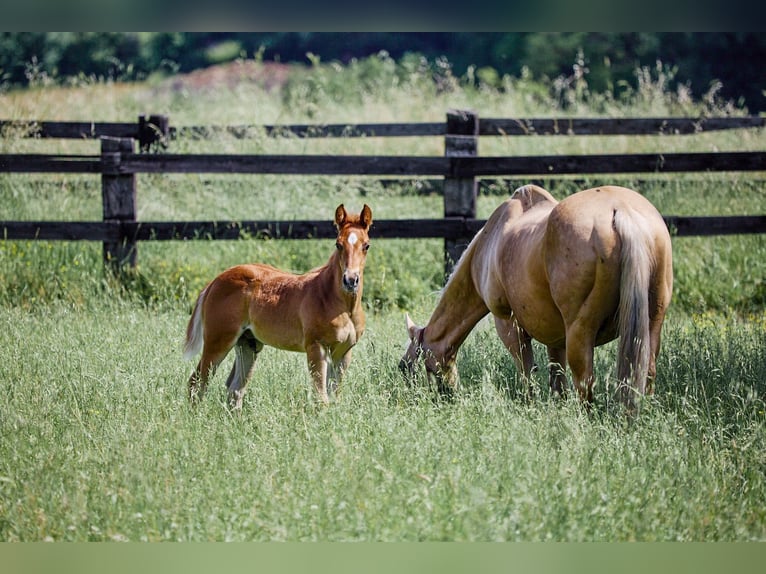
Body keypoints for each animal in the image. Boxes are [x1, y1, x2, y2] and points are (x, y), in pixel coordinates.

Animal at [184, 204, 374, 410]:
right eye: (338, 244)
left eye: (366, 245)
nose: (350, 280)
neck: (340, 304)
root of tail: (214, 282)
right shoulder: (316, 347)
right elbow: (321, 398)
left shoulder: (343, 352)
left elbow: (333, 397)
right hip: (218, 341)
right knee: (197, 382)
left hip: (247, 344)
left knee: (235, 389)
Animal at [402, 187, 672, 412]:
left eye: (411, 366)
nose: (439, 401)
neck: (491, 241)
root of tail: (620, 211)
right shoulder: (556, 338)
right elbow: (557, 378)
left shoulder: (508, 324)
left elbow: (527, 371)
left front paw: (529, 407)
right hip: (651, 324)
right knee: (646, 371)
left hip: (580, 332)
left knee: (585, 380)